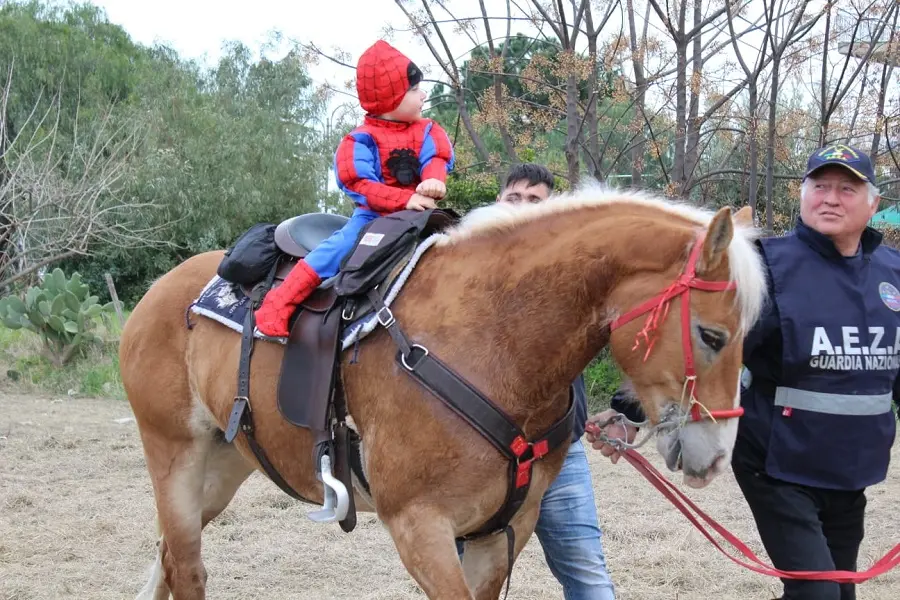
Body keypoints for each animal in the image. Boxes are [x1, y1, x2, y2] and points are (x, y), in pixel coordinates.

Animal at [118, 185, 768, 596]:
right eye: (711, 335)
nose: (716, 457)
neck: (494, 342)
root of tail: (159, 292)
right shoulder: (420, 528)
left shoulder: (502, 532)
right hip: (174, 458)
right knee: (188, 570)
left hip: (224, 466)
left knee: (168, 560)